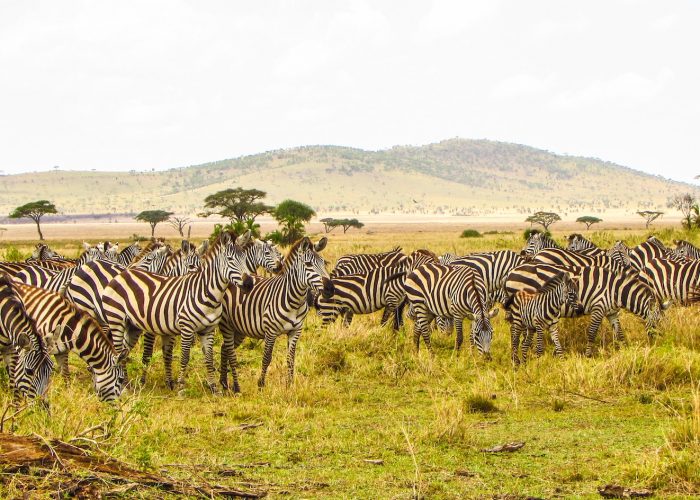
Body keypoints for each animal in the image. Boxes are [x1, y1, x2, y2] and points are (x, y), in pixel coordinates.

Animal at [101, 230, 253, 392]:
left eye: (245, 259)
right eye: (230, 259)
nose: (249, 284)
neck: (206, 293)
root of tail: (122, 274)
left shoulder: (208, 330)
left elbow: (209, 358)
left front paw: (213, 388)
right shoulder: (186, 328)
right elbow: (184, 357)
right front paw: (180, 387)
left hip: (132, 326)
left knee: (123, 351)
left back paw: (126, 384)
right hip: (116, 320)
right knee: (119, 350)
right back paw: (123, 386)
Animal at [218, 237, 333, 393]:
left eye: (323, 262)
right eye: (308, 264)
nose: (331, 289)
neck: (294, 301)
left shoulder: (295, 331)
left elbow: (290, 359)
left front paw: (290, 384)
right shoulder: (271, 332)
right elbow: (267, 357)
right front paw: (261, 384)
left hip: (240, 329)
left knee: (224, 348)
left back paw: (224, 382)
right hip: (227, 326)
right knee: (227, 349)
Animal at [506, 263, 668, 357]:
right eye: (658, 321)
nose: (660, 344)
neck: (616, 291)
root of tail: (511, 272)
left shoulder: (612, 312)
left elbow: (620, 333)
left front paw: (624, 350)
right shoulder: (598, 308)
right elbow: (591, 333)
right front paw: (588, 354)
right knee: (515, 330)